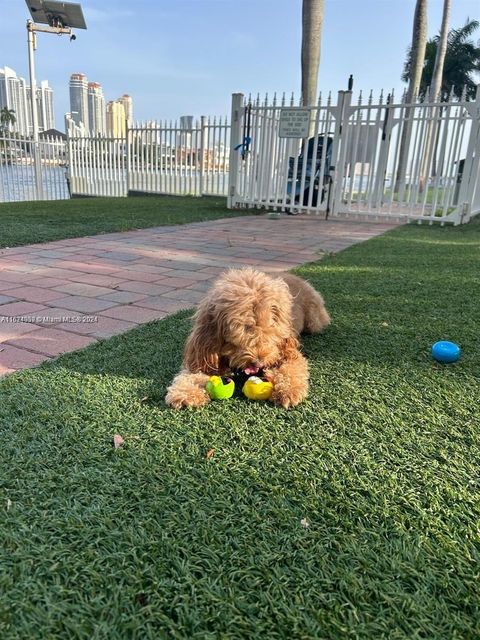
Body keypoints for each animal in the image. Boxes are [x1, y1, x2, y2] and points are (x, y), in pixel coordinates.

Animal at [165, 266, 330, 408]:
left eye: (269, 332)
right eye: (240, 333)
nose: (258, 362)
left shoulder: (287, 353)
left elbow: (291, 369)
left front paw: (288, 391)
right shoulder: (203, 354)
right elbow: (191, 373)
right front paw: (185, 392)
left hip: (314, 320)